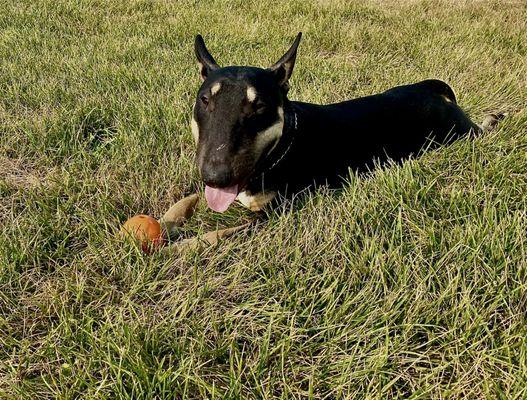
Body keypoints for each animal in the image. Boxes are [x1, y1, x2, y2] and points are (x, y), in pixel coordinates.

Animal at [193, 33, 504, 212]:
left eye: (259, 106)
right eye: (205, 100)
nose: (215, 177)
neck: (285, 143)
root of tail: (430, 89)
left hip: (458, 133)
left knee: (480, 130)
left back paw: (494, 118)